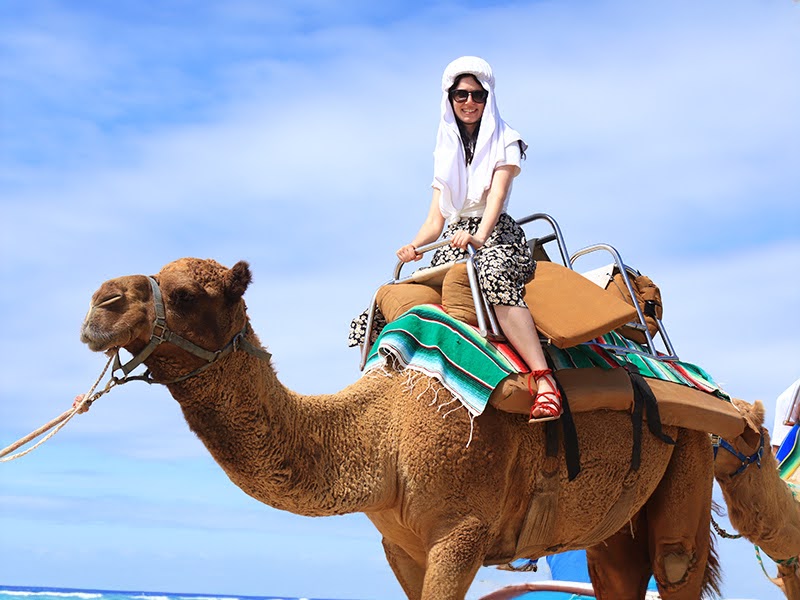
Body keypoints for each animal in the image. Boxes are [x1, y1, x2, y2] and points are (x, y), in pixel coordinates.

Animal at [79, 258, 800, 600]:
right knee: (616, 573)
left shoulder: (463, 529)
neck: (385, 431)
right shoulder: (400, 546)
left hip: (695, 445)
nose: (98, 306)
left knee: (677, 562)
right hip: (619, 510)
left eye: (186, 294)